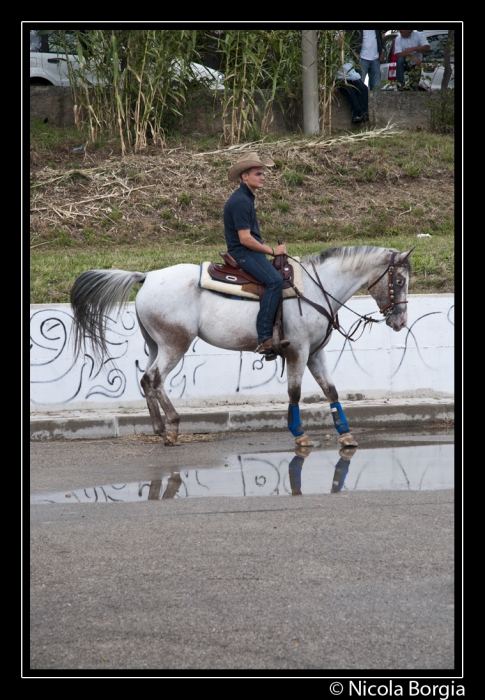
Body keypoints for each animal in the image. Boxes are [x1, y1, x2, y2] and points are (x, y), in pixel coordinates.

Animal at [70, 243, 412, 446]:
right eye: (398, 281)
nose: (399, 322)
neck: (317, 288)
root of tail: (148, 277)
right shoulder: (298, 350)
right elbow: (295, 392)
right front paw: (299, 434)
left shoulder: (315, 352)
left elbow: (331, 390)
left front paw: (346, 434)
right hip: (174, 344)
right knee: (154, 378)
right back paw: (172, 427)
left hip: (155, 344)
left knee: (145, 378)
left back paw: (159, 428)